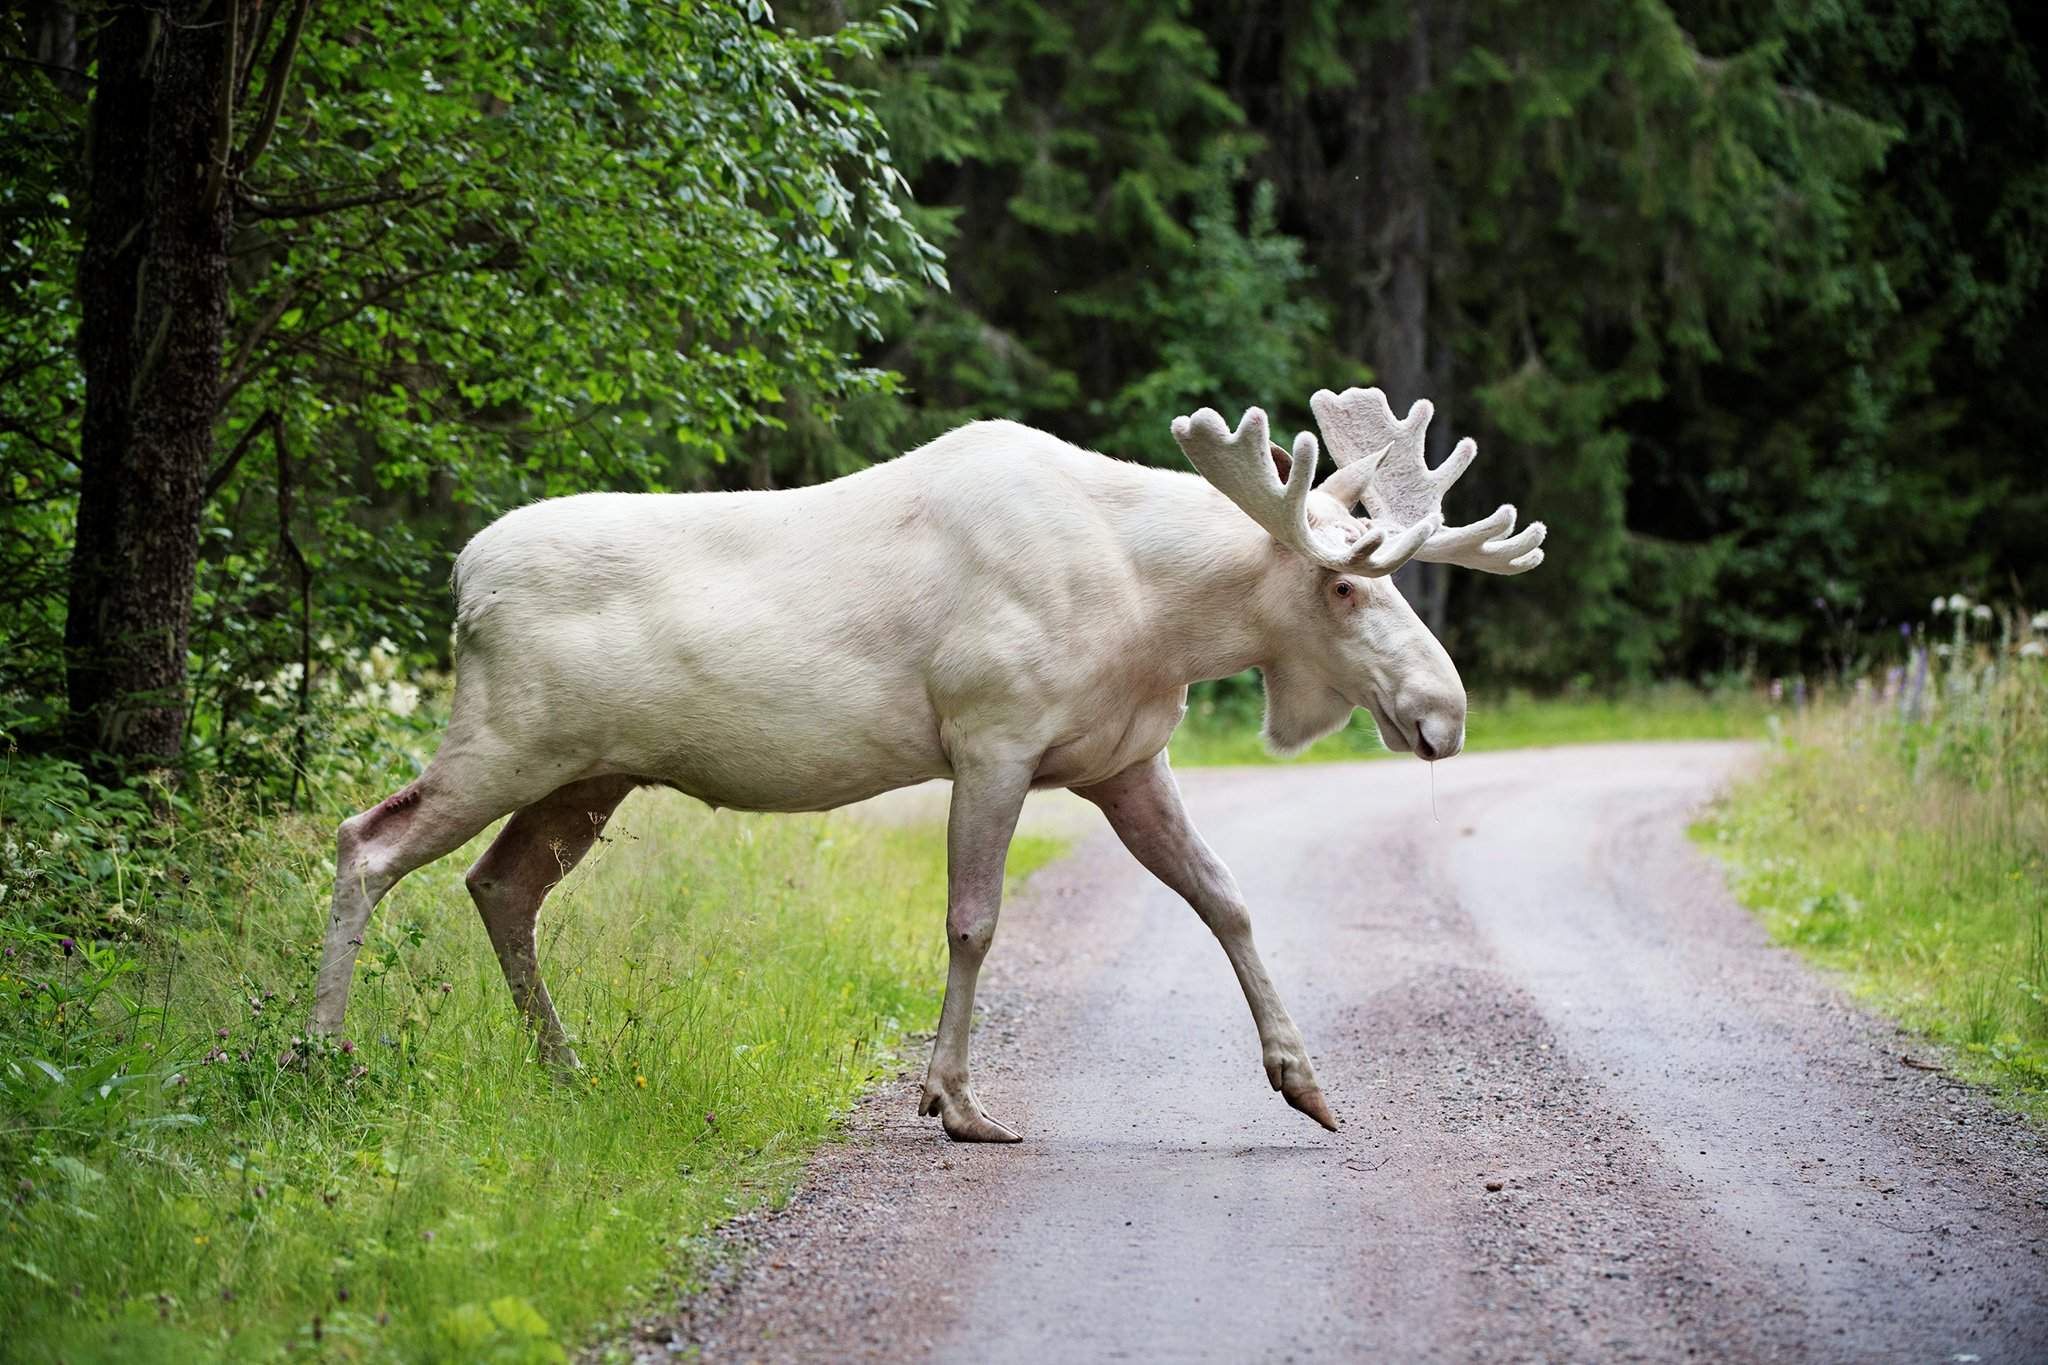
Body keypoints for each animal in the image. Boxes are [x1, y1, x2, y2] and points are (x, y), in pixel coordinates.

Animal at [311, 392, 1540, 1146]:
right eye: (1343, 584)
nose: (1443, 714)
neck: (1156, 614)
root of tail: (462, 578)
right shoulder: (991, 735)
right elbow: (972, 919)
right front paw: (954, 1100)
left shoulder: (1123, 759)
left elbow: (1227, 899)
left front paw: (1305, 1082)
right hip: (506, 739)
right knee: (367, 839)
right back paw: (320, 1052)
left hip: (587, 774)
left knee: (499, 884)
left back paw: (563, 1069)